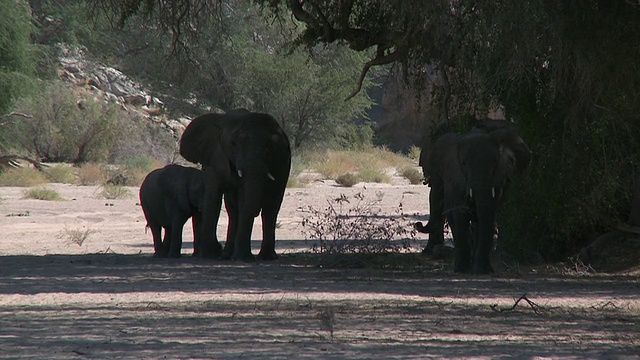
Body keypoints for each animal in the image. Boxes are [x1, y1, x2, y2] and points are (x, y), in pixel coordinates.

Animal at [179, 108, 292, 260]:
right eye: (233, 144)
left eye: (268, 148)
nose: (217, 247)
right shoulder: (214, 156)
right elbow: (213, 198)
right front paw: (210, 254)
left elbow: (244, 200)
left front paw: (241, 258)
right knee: (234, 211)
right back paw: (227, 254)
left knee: (270, 209)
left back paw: (265, 257)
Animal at [416, 126, 528, 272]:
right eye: (464, 163)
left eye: (494, 162)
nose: (418, 224)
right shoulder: (456, 180)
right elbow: (461, 215)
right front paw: (463, 270)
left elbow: (487, 216)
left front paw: (484, 271)